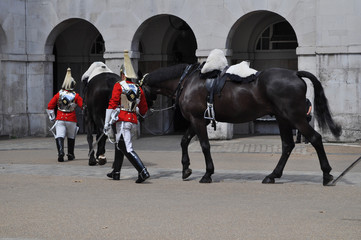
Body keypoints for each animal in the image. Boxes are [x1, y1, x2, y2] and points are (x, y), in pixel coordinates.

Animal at [138, 62, 340, 186]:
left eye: (137, 92)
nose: (140, 116)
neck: (187, 81)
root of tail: (295, 73)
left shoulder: (197, 119)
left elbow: (204, 145)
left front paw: (207, 173)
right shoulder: (197, 120)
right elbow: (184, 141)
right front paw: (186, 168)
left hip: (295, 118)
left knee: (315, 138)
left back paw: (326, 174)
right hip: (283, 118)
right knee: (287, 145)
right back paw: (272, 175)